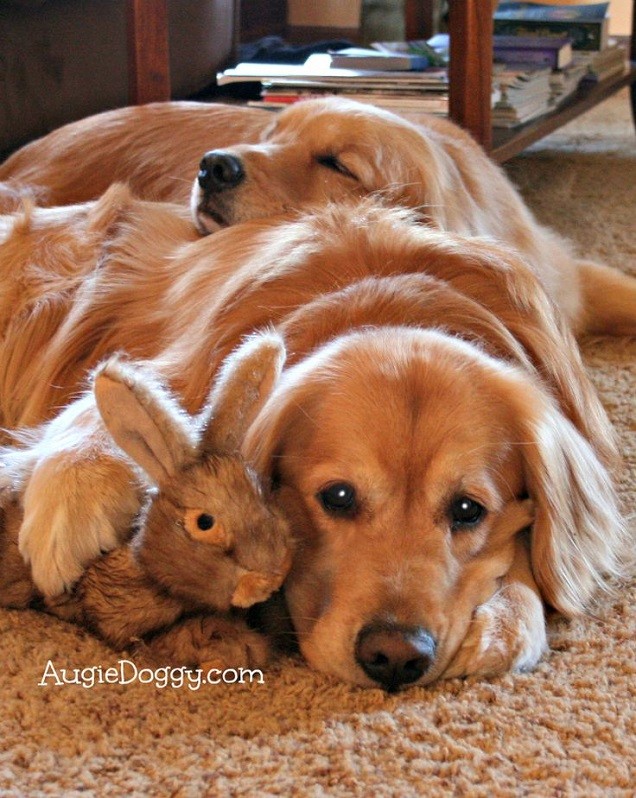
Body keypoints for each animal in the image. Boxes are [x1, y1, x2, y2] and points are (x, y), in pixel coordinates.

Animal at [0, 189, 628, 692]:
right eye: (338, 497)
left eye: (469, 510)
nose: (395, 658)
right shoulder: (183, 366)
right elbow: (104, 397)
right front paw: (68, 508)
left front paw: (508, 619)